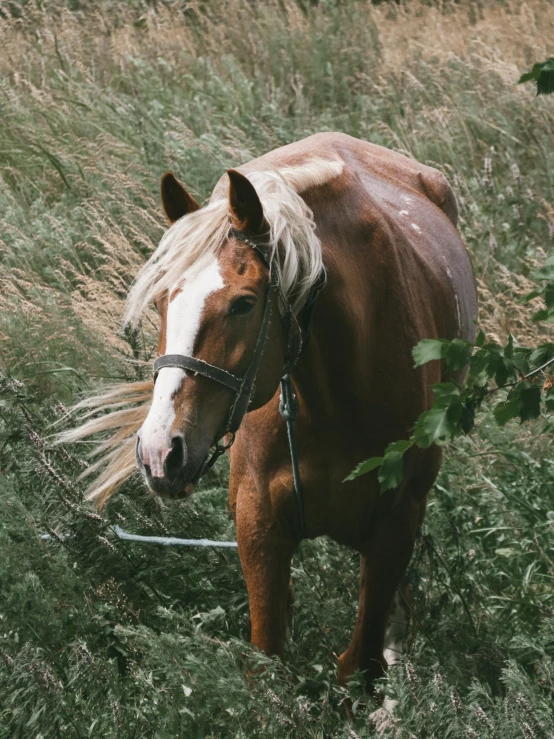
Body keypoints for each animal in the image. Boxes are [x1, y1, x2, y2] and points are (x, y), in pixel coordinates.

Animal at [68, 132, 474, 700]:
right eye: (162, 299)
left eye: (243, 304)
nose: (159, 452)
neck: (332, 399)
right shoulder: (259, 525)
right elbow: (267, 664)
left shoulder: (394, 528)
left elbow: (360, 663)